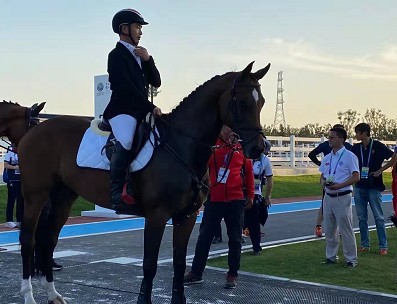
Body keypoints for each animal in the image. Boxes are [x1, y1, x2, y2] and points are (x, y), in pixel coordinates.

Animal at [3, 60, 270, 302]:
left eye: (262, 102)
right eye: (243, 102)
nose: (259, 148)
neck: (181, 145)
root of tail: (32, 133)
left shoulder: (187, 216)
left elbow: (179, 263)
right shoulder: (157, 215)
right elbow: (149, 264)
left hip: (63, 197)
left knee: (49, 240)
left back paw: (53, 295)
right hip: (35, 195)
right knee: (28, 240)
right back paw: (29, 296)